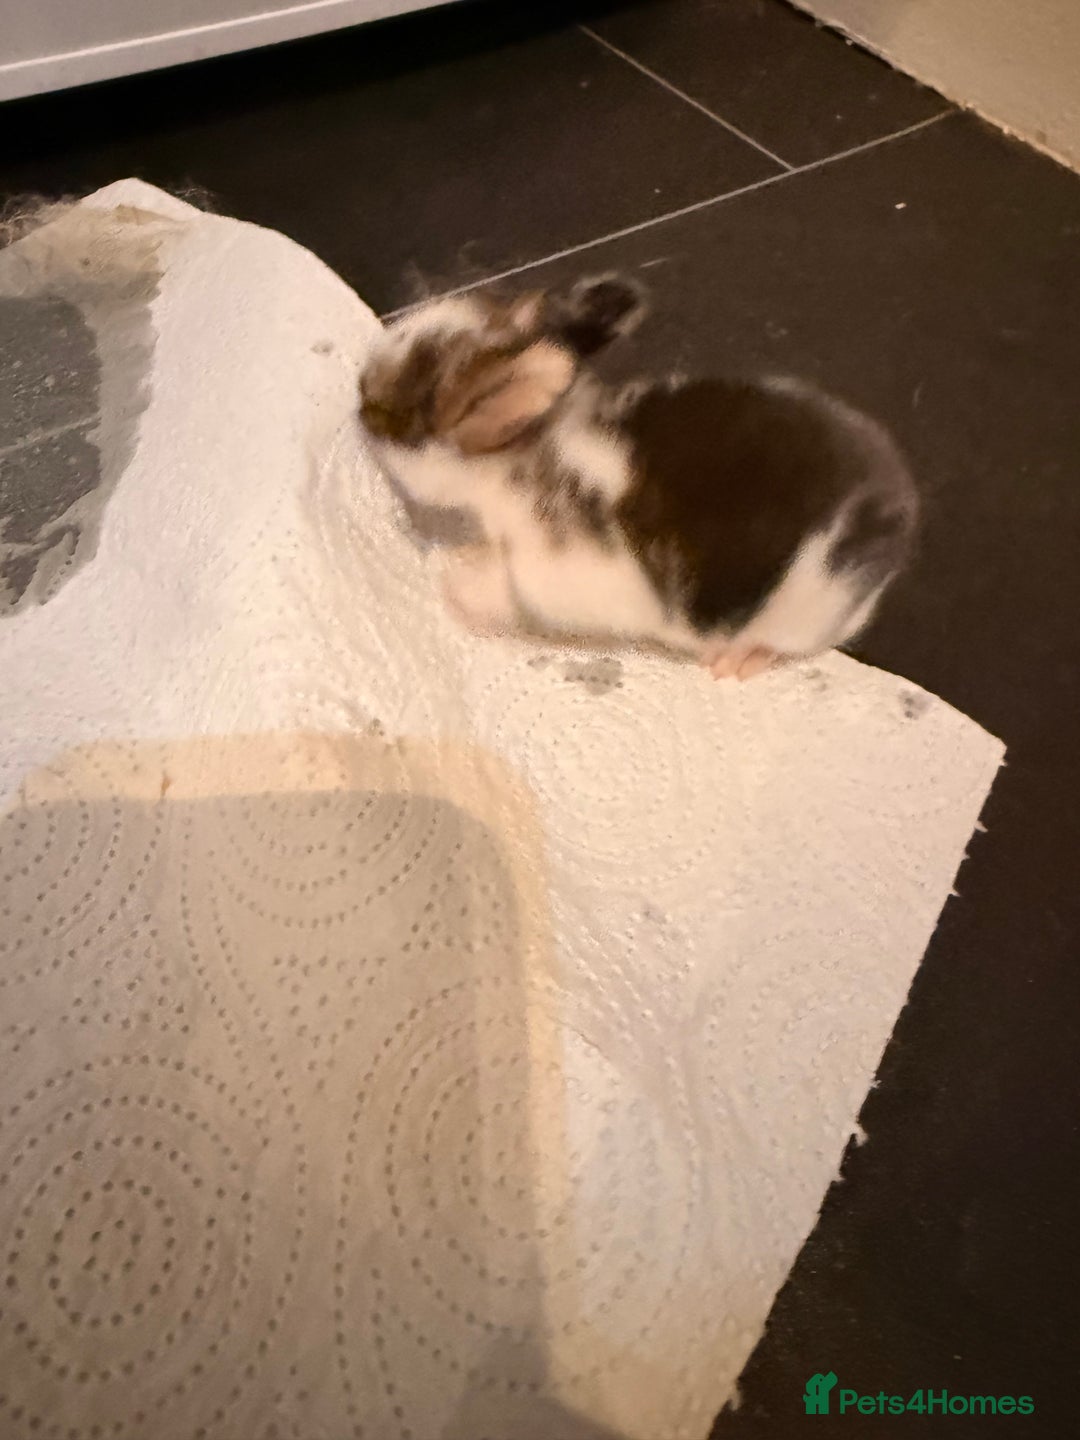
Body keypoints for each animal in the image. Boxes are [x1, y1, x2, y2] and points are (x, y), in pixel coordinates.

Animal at [358, 275, 917, 680]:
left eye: (386, 414)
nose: (358, 394)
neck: (523, 462)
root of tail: (900, 512)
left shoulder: (556, 581)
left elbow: (509, 594)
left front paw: (461, 593)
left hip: (801, 611)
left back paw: (733, 662)